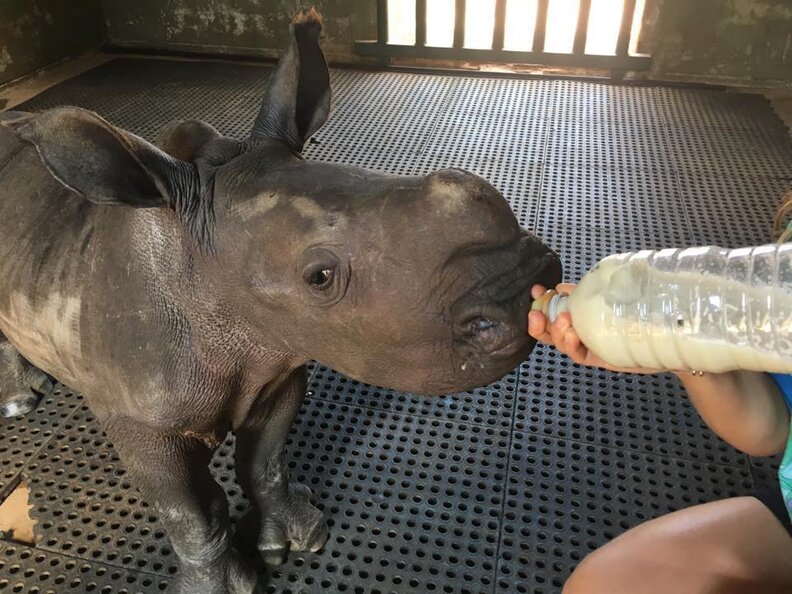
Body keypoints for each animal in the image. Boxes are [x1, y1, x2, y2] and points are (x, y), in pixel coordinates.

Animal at [0, 11, 561, 593]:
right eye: (320, 277)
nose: (526, 282)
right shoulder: (141, 421)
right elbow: (190, 514)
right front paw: (223, 585)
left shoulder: (276, 363)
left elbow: (264, 461)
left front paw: (296, 538)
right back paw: (20, 405)